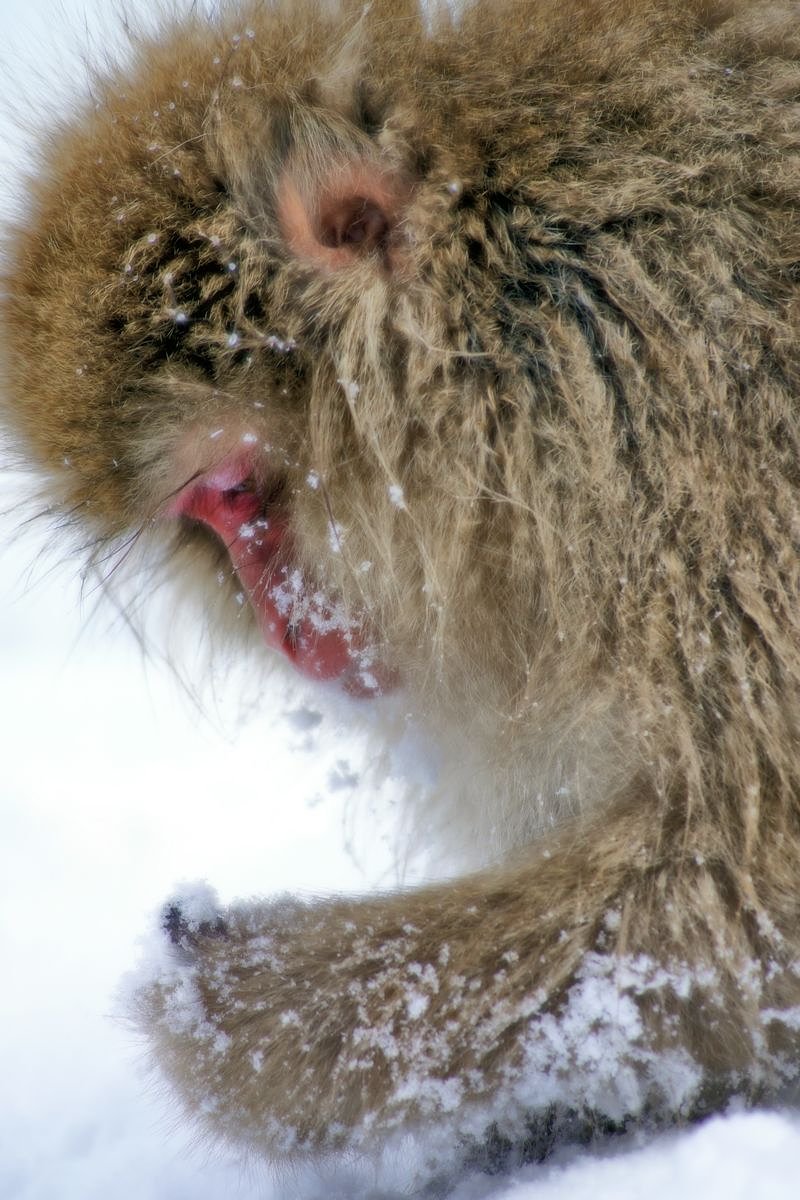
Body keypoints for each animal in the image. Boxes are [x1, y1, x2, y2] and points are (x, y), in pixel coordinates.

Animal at [3, 0, 800, 1188]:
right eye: (205, 528)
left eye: (237, 491)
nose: (287, 632)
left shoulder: (701, 439)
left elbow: (752, 878)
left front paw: (244, 1020)